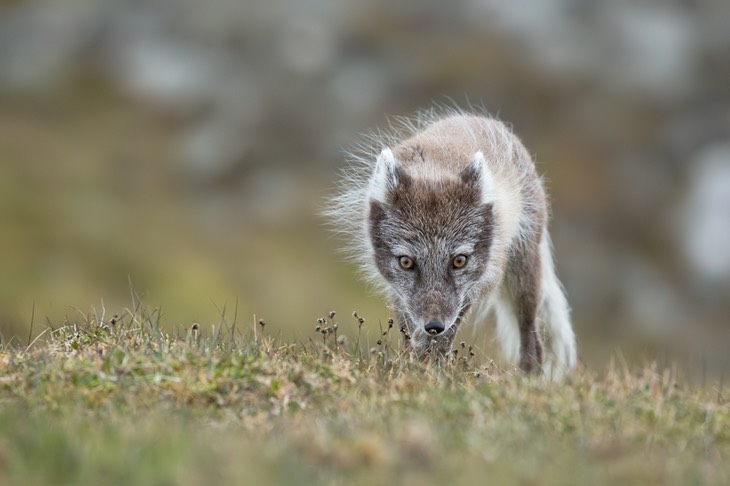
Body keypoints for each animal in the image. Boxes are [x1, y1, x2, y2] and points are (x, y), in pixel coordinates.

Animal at [328, 109, 576, 376]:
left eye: (459, 261)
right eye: (406, 262)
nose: (434, 325)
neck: (434, 169)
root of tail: (484, 119)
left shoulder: (475, 284)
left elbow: (446, 335)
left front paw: (431, 368)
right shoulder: (398, 291)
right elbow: (409, 328)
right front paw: (414, 363)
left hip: (523, 273)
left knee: (532, 337)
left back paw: (530, 378)